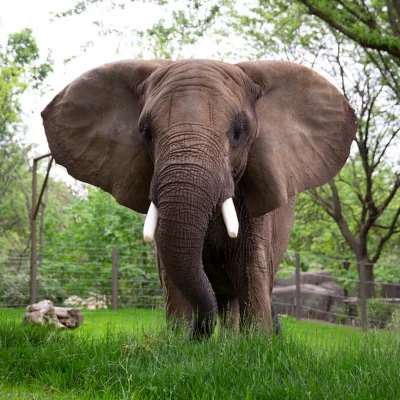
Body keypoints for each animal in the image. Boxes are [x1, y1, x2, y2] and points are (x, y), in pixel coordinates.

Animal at [41, 59, 356, 340]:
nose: (198, 333)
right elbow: (170, 273)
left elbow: (250, 270)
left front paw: (258, 345)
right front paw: (179, 342)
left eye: (239, 133)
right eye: (146, 133)